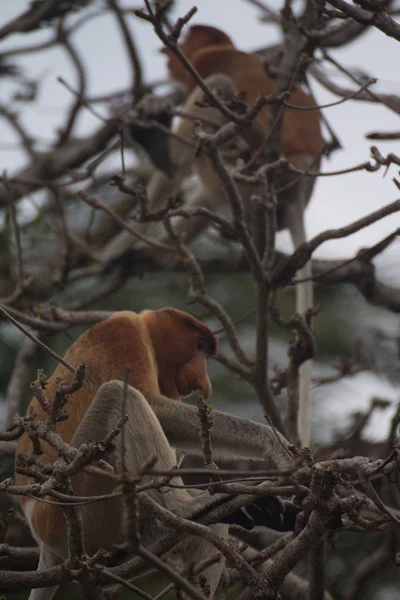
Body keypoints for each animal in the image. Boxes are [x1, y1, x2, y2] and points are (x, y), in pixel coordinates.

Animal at [15, 310, 296, 600]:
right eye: (199, 347)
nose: (204, 385)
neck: (147, 332)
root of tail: (45, 543)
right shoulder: (123, 332)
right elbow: (154, 405)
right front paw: (276, 443)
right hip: (75, 502)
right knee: (117, 393)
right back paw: (184, 509)